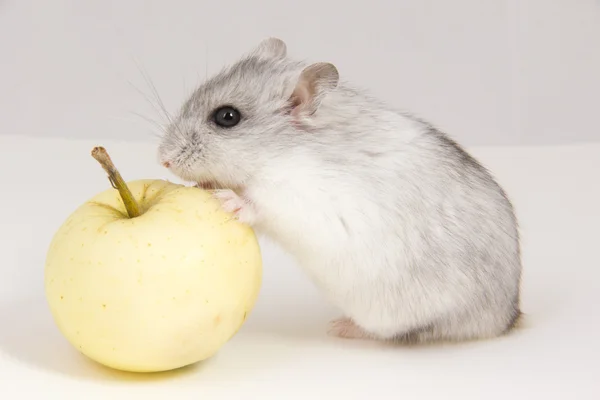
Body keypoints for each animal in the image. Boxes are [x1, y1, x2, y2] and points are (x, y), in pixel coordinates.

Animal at [157, 37, 524, 344]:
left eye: (227, 116)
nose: (163, 159)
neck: (280, 153)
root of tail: (506, 317)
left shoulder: (296, 199)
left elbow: (258, 204)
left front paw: (227, 199)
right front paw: (203, 184)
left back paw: (341, 327)